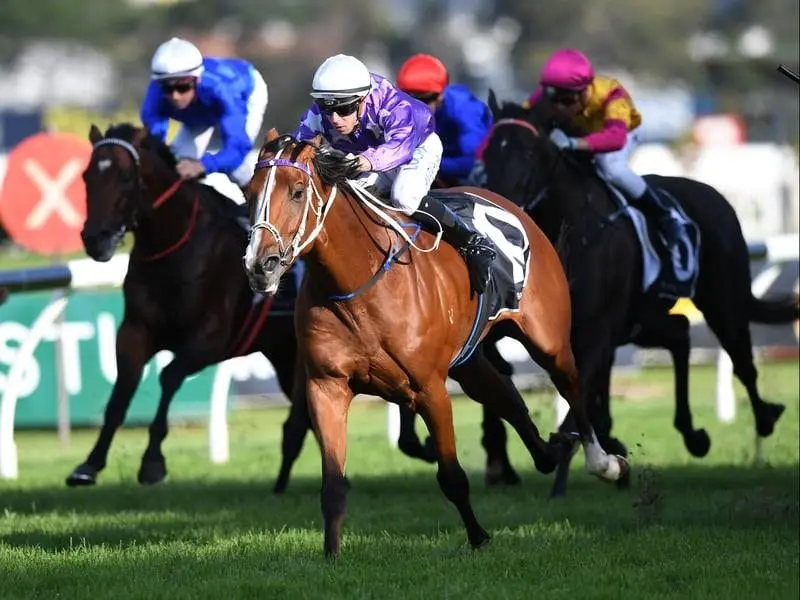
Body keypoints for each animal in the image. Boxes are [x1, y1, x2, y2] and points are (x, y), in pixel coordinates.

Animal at [241, 131, 628, 556]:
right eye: (248, 193)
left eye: (297, 192)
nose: (261, 266)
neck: (356, 284)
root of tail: (514, 207)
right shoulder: (326, 387)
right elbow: (334, 484)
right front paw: (331, 555)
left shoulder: (429, 389)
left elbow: (452, 476)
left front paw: (478, 537)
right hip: (470, 360)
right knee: (507, 396)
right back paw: (550, 451)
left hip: (550, 340)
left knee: (573, 386)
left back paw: (604, 463)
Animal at [478, 95, 796, 496]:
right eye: (489, 149)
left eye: (529, 151)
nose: (496, 201)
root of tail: (714, 196)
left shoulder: (598, 333)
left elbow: (578, 405)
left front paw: (585, 464)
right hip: (643, 321)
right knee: (680, 332)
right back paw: (693, 433)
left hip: (722, 301)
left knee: (741, 359)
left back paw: (765, 416)